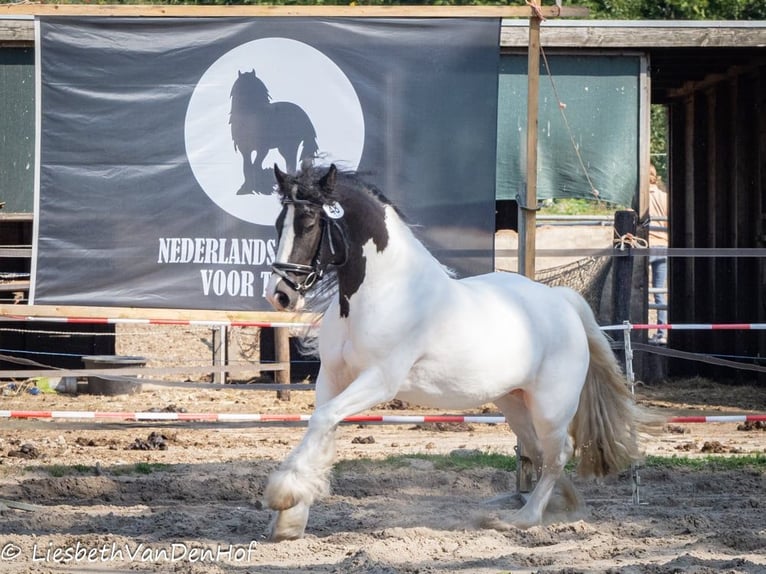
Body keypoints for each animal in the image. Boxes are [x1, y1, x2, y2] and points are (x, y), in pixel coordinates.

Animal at [264, 164, 648, 544]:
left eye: (309, 223)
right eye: (278, 221)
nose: (280, 295)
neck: (383, 291)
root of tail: (563, 300)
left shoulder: (379, 380)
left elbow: (323, 420)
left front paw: (284, 498)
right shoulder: (332, 377)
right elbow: (322, 426)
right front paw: (291, 521)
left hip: (551, 406)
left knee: (558, 453)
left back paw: (524, 518)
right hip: (513, 402)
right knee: (539, 451)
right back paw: (566, 506)